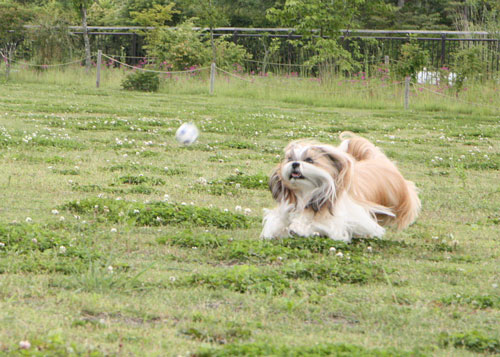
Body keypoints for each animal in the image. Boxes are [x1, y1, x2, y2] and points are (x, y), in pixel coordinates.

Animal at [262, 131, 422, 242]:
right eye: (290, 159)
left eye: (309, 160)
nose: (295, 164)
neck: (307, 193)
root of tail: (377, 160)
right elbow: (278, 221)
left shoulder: (351, 219)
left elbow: (322, 224)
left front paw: (299, 228)